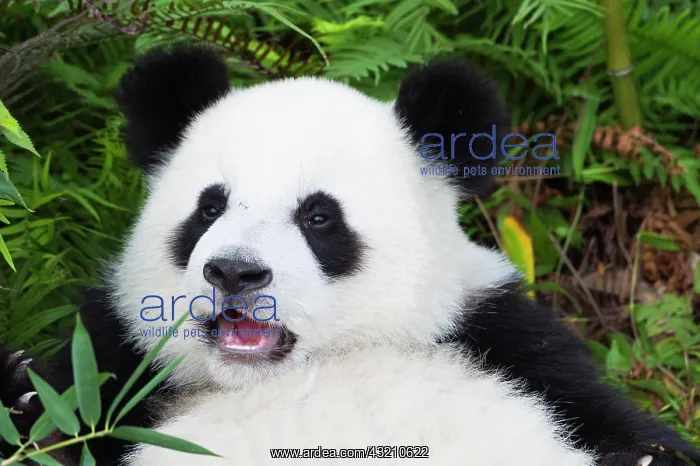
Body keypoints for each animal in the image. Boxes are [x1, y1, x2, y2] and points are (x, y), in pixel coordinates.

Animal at [1, 45, 698, 466]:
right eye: (209, 208)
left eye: (319, 217)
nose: (234, 272)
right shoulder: (116, 370)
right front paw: (24, 394)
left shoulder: (507, 345)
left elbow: (634, 438)